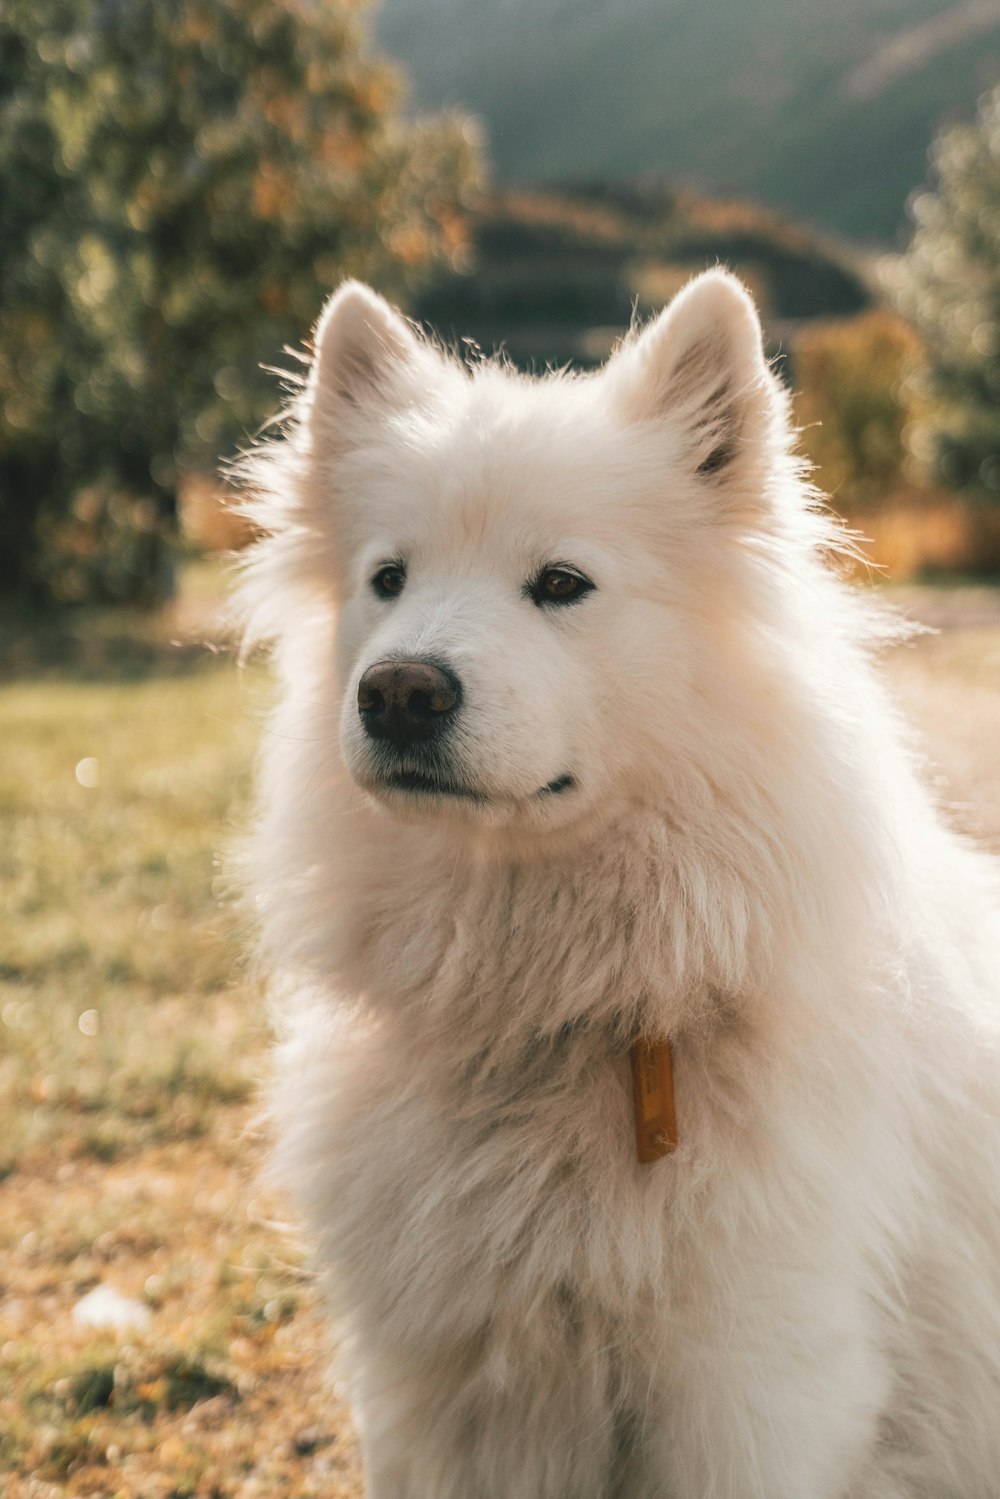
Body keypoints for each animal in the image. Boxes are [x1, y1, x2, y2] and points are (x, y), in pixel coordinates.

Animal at [238, 272, 1000, 1499]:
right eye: (387, 579)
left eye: (561, 583)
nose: (397, 692)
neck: (558, 1014)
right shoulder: (453, 1392)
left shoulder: (748, 1384)